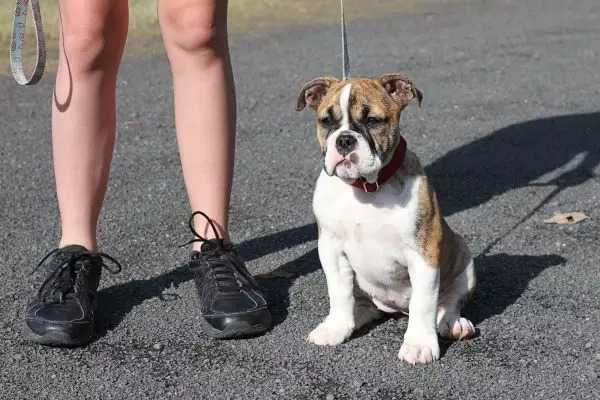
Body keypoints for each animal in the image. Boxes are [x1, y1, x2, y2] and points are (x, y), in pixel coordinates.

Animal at [298, 76, 476, 366]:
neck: (366, 188)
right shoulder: (331, 250)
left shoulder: (423, 253)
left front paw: (418, 344)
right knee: (361, 304)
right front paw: (336, 327)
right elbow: (339, 293)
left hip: (464, 260)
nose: (344, 140)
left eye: (373, 121)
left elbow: (423, 303)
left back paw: (454, 324)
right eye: (327, 121)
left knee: (449, 301)